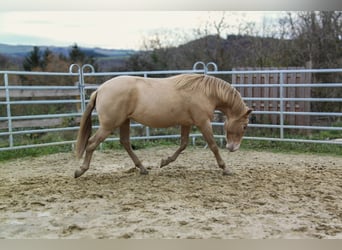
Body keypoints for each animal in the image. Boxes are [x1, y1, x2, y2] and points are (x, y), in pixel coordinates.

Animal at [74, 73, 251, 178]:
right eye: (244, 126)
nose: (233, 148)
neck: (205, 92)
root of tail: (100, 90)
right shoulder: (203, 122)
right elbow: (213, 146)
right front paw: (225, 168)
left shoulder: (186, 123)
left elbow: (183, 145)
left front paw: (164, 162)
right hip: (109, 125)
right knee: (92, 143)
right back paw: (80, 170)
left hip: (124, 121)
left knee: (125, 143)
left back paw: (143, 169)